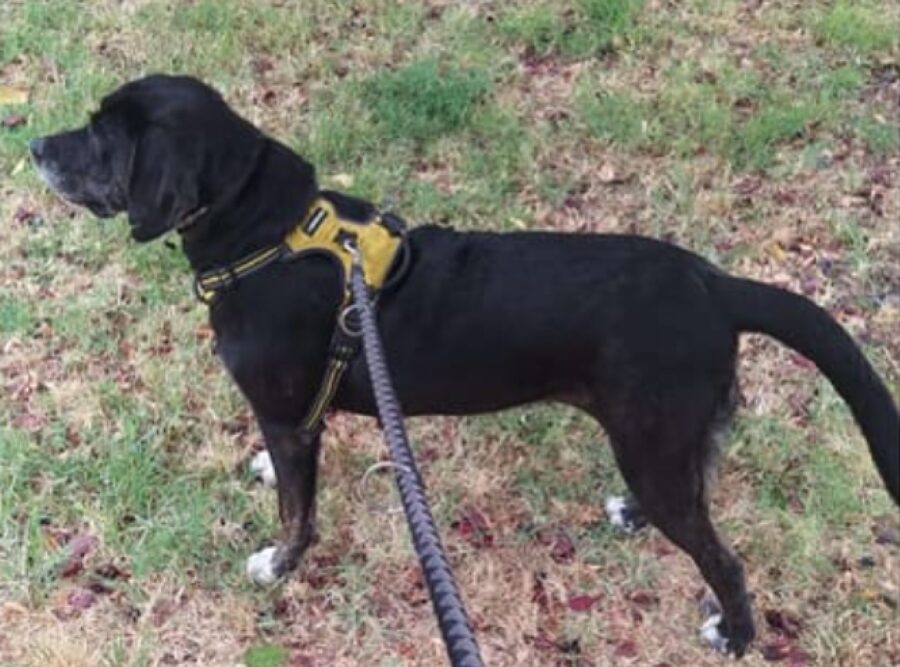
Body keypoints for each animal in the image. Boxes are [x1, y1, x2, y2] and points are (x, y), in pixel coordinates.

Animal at [31, 77, 896, 656]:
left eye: (104, 134)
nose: (34, 145)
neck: (267, 233)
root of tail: (716, 286)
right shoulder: (296, 418)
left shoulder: (285, 416)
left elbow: (298, 513)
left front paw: (278, 564)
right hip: (670, 437)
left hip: (652, 439)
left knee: (725, 558)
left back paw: (738, 634)